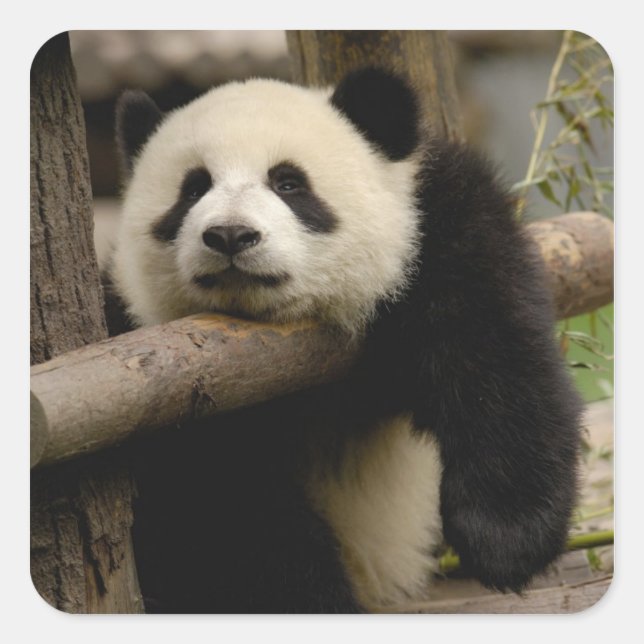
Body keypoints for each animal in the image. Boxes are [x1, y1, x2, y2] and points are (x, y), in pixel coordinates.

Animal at [106, 67, 582, 613]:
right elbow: (219, 508)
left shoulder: (435, 228)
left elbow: (494, 350)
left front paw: (506, 540)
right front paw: (314, 595)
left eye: (289, 183)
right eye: (192, 188)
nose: (230, 235)